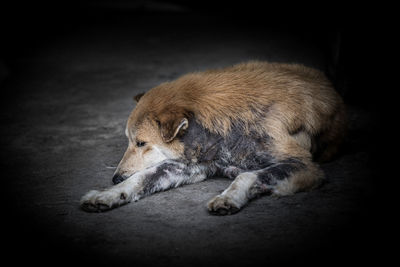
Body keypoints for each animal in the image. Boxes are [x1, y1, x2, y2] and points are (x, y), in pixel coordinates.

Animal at [79, 61, 346, 216]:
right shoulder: (187, 166)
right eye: (129, 141)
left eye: (142, 143)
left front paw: (229, 197)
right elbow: (140, 178)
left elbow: (248, 175)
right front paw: (108, 194)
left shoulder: (303, 165)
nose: (115, 178)